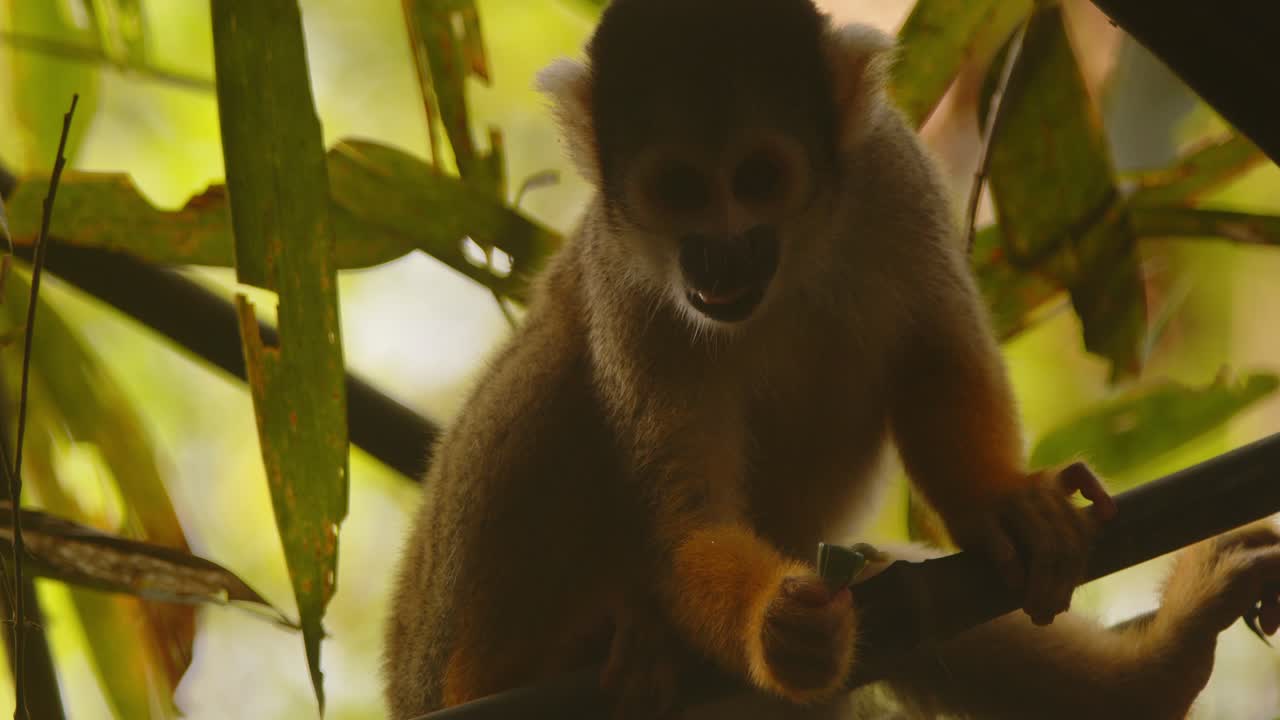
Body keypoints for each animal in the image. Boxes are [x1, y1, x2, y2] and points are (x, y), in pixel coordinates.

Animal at [383, 1, 1280, 718]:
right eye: (678, 191)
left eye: (757, 177)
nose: (719, 256)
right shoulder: (626, 286)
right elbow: (687, 520)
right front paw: (778, 631)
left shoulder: (893, 172)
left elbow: (933, 354)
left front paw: (1000, 502)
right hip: (438, 637)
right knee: (549, 367)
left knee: (901, 596)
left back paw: (1160, 672)